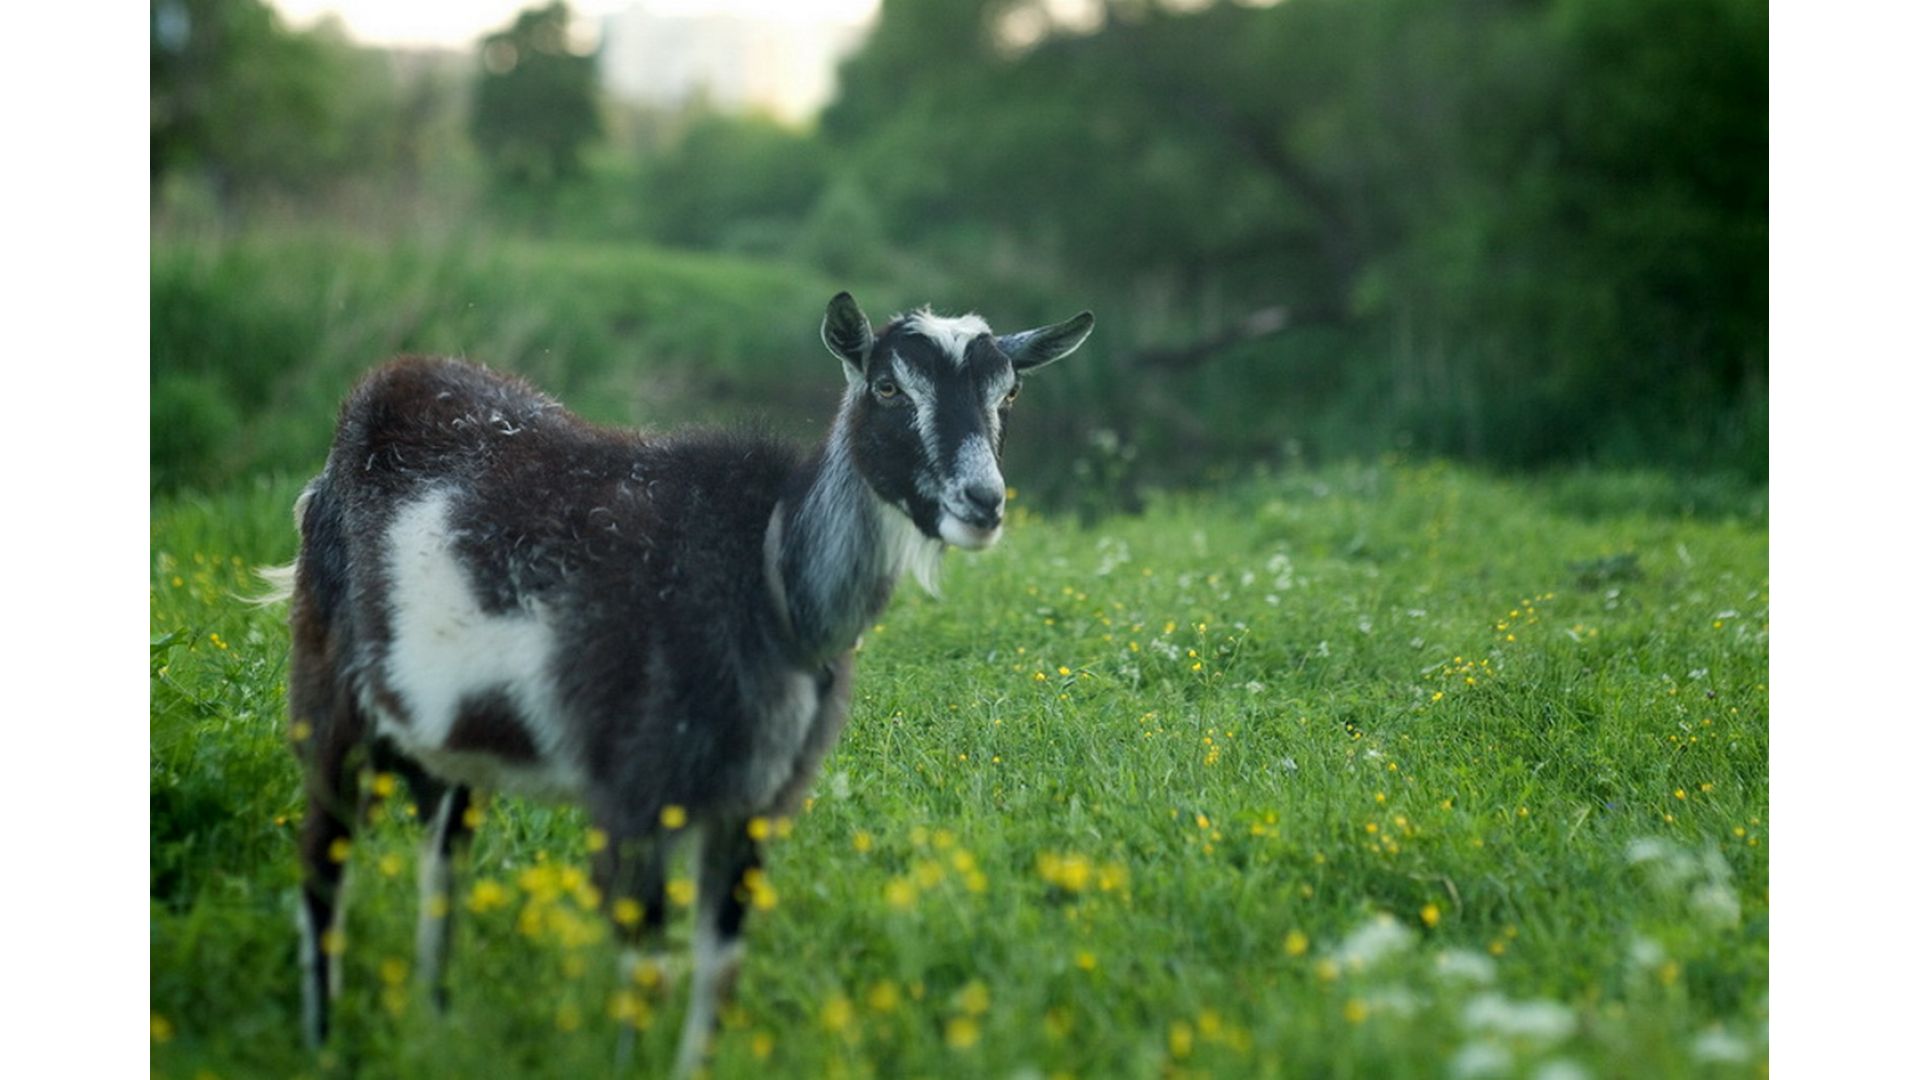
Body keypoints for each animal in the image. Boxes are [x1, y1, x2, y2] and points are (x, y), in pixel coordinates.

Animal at [272, 288, 1098, 1068]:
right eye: (889, 387)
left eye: (1008, 393)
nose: (983, 503)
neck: (768, 578)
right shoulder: (634, 794)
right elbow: (646, 975)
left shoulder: (751, 805)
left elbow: (719, 973)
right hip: (327, 697)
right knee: (322, 866)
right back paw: (322, 1041)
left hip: (449, 742)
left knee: (440, 868)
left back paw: (437, 1028)